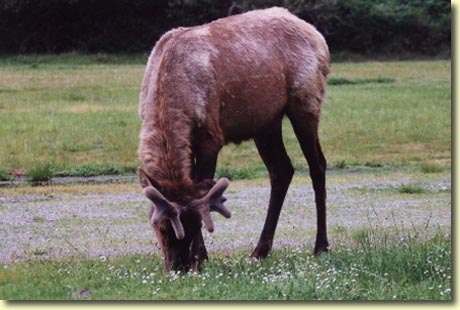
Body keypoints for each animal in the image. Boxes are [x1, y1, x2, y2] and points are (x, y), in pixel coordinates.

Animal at [138, 6, 328, 270]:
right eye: (160, 226)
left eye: (196, 225)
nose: (179, 267)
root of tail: (318, 36)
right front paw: (203, 257)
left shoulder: (211, 137)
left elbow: (202, 193)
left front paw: (200, 257)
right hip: (266, 122)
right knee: (282, 170)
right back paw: (259, 251)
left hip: (306, 100)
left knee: (317, 164)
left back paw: (321, 246)